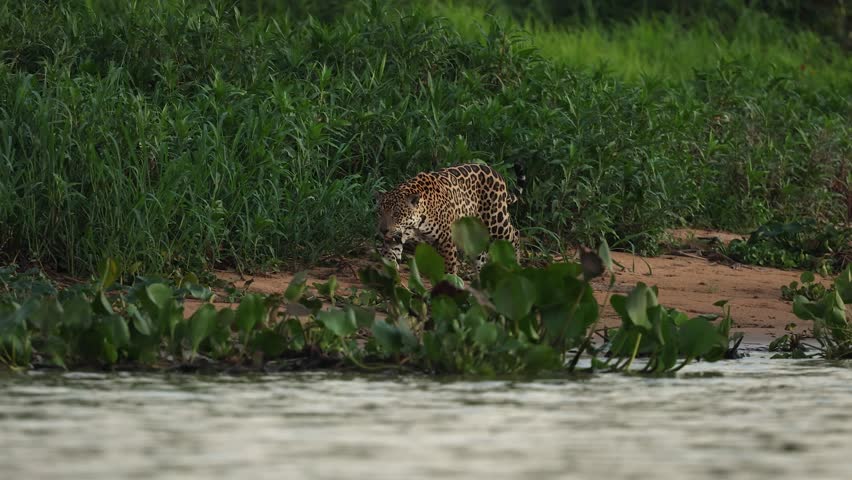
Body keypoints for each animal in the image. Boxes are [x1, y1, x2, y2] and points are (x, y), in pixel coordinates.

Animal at [375, 163, 523, 275]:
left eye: (396, 214)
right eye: (380, 213)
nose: (382, 230)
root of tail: (497, 173)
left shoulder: (446, 241)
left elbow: (449, 267)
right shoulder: (393, 239)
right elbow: (389, 256)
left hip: (497, 222)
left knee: (515, 234)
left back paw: (515, 265)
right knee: (480, 253)